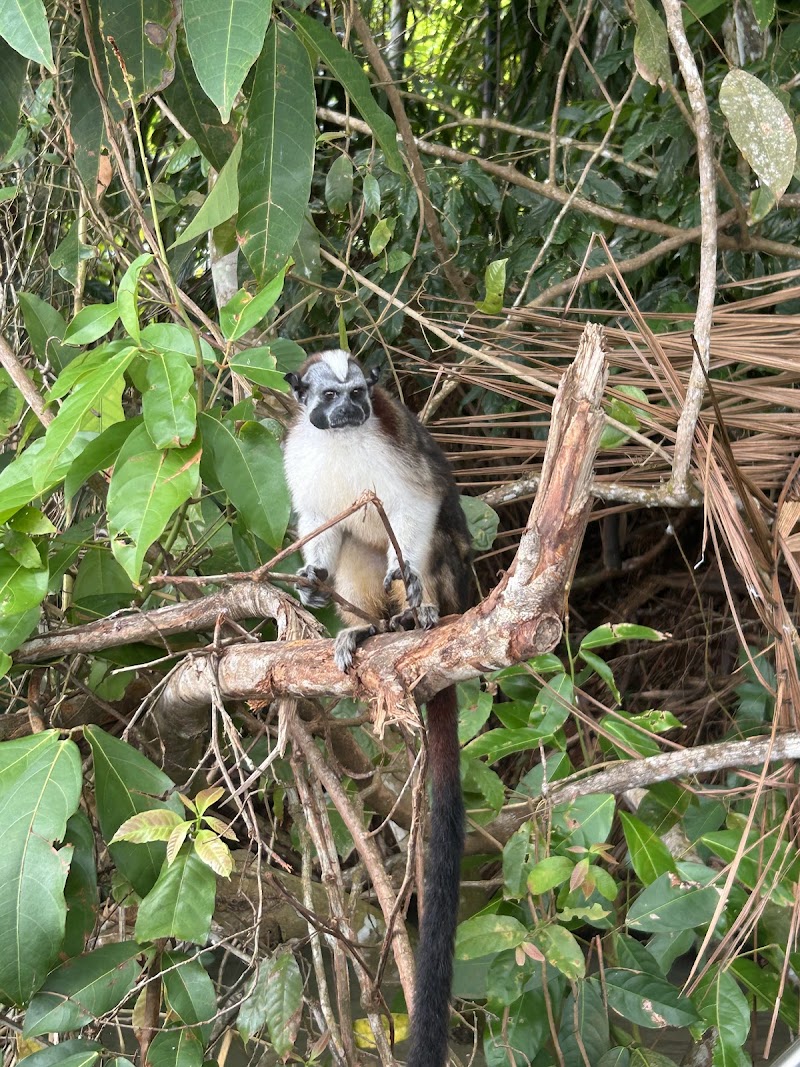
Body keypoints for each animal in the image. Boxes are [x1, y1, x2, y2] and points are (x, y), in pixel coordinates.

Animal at [283, 348, 474, 1067]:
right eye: (329, 396)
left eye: (361, 394)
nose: (350, 410)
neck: (340, 441)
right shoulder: (302, 455)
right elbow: (322, 526)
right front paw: (312, 583)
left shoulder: (394, 446)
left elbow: (415, 505)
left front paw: (408, 579)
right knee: (355, 550)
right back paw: (369, 629)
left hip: (456, 583)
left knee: (434, 540)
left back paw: (416, 614)